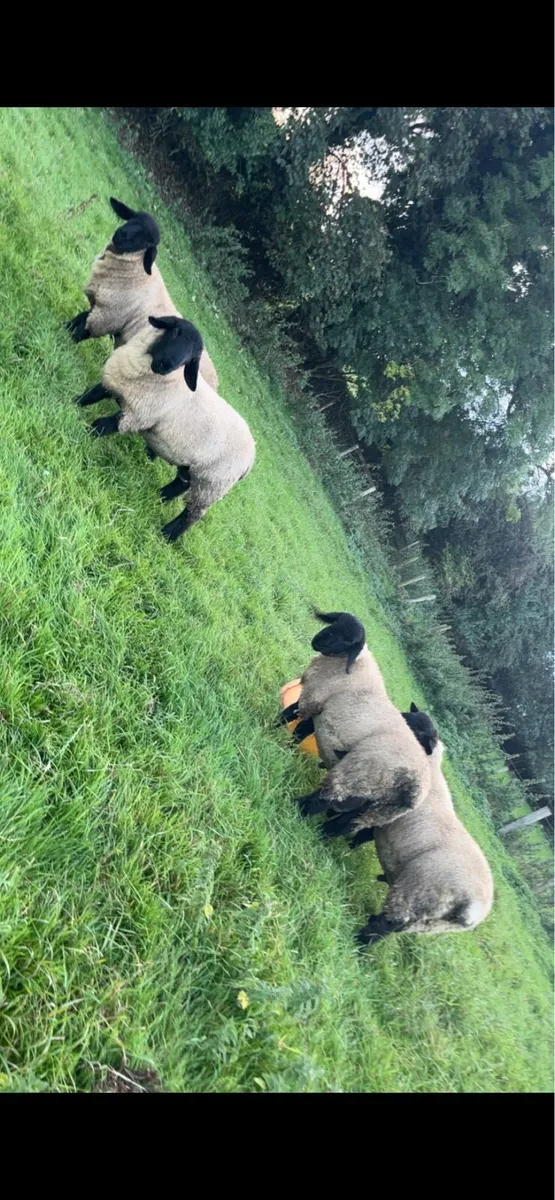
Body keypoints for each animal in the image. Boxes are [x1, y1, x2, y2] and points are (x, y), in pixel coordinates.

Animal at [65, 197, 219, 391]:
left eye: (148, 243)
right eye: (133, 219)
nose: (121, 235)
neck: (137, 274)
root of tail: (216, 382)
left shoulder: (106, 317)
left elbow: (79, 333)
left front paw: (64, 343)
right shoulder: (100, 306)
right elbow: (77, 320)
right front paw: (61, 329)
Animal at [73, 314, 255, 542]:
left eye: (191, 359)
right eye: (176, 332)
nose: (166, 365)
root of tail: (251, 458)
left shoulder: (138, 415)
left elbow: (102, 425)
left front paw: (82, 434)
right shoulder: (114, 386)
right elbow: (90, 396)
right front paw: (72, 405)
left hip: (213, 482)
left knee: (193, 514)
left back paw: (168, 535)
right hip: (198, 470)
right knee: (181, 484)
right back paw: (158, 497)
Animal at [290, 612, 437, 828]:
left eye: (348, 641)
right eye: (335, 623)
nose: (317, 641)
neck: (354, 666)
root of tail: (415, 789)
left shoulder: (313, 700)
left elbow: (291, 720)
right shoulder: (320, 711)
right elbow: (299, 731)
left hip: (359, 773)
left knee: (325, 798)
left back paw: (293, 806)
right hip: (376, 808)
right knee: (348, 822)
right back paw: (321, 830)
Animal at [321, 728, 494, 944]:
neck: (432, 768)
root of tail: (472, 908)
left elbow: (351, 824)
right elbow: (359, 833)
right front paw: (348, 843)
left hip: (417, 892)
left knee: (386, 923)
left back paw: (357, 942)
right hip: (428, 923)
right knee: (389, 930)